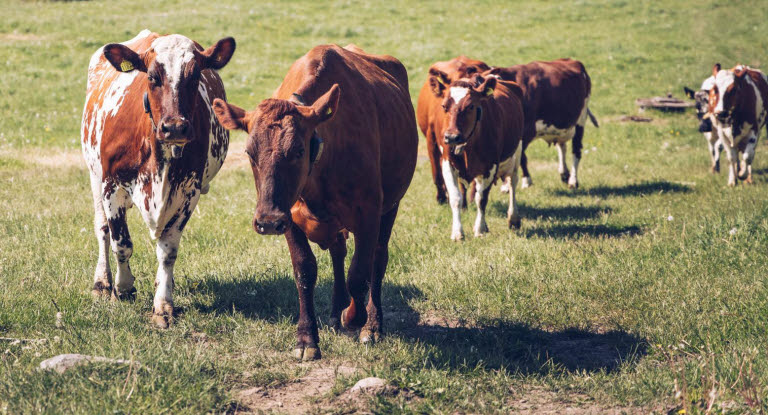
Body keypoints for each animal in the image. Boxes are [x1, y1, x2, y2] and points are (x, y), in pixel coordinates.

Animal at [80, 30, 237, 328]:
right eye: (152, 77)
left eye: (195, 75)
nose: (175, 127)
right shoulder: (111, 186)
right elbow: (121, 243)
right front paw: (123, 288)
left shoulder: (188, 192)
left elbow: (168, 250)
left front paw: (163, 304)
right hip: (94, 176)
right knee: (102, 229)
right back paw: (101, 283)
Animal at [210, 44, 416, 360]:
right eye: (248, 152)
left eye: (298, 150)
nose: (267, 221)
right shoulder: (289, 218)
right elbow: (305, 271)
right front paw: (307, 339)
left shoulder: (368, 213)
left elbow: (360, 273)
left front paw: (354, 318)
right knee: (338, 252)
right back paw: (335, 309)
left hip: (391, 206)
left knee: (378, 259)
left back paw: (372, 324)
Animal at [426, 72, 528, 239]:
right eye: (444, 106)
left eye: (470, 106)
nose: (451, 137)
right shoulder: (447, 164)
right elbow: (455, 197)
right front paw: (457, 232)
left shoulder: (490, 167)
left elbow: (481, 199)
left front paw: (479, 228)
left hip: (517, 151)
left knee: (513, 182)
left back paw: (513, 218)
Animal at [484, 58, 596, 188]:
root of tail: (573, 60)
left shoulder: (526, 132)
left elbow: (521, 157)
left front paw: (524, 181)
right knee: (562, 147)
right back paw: (564, 173)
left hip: (580, 119)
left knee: (576, 150)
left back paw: (573, 181)